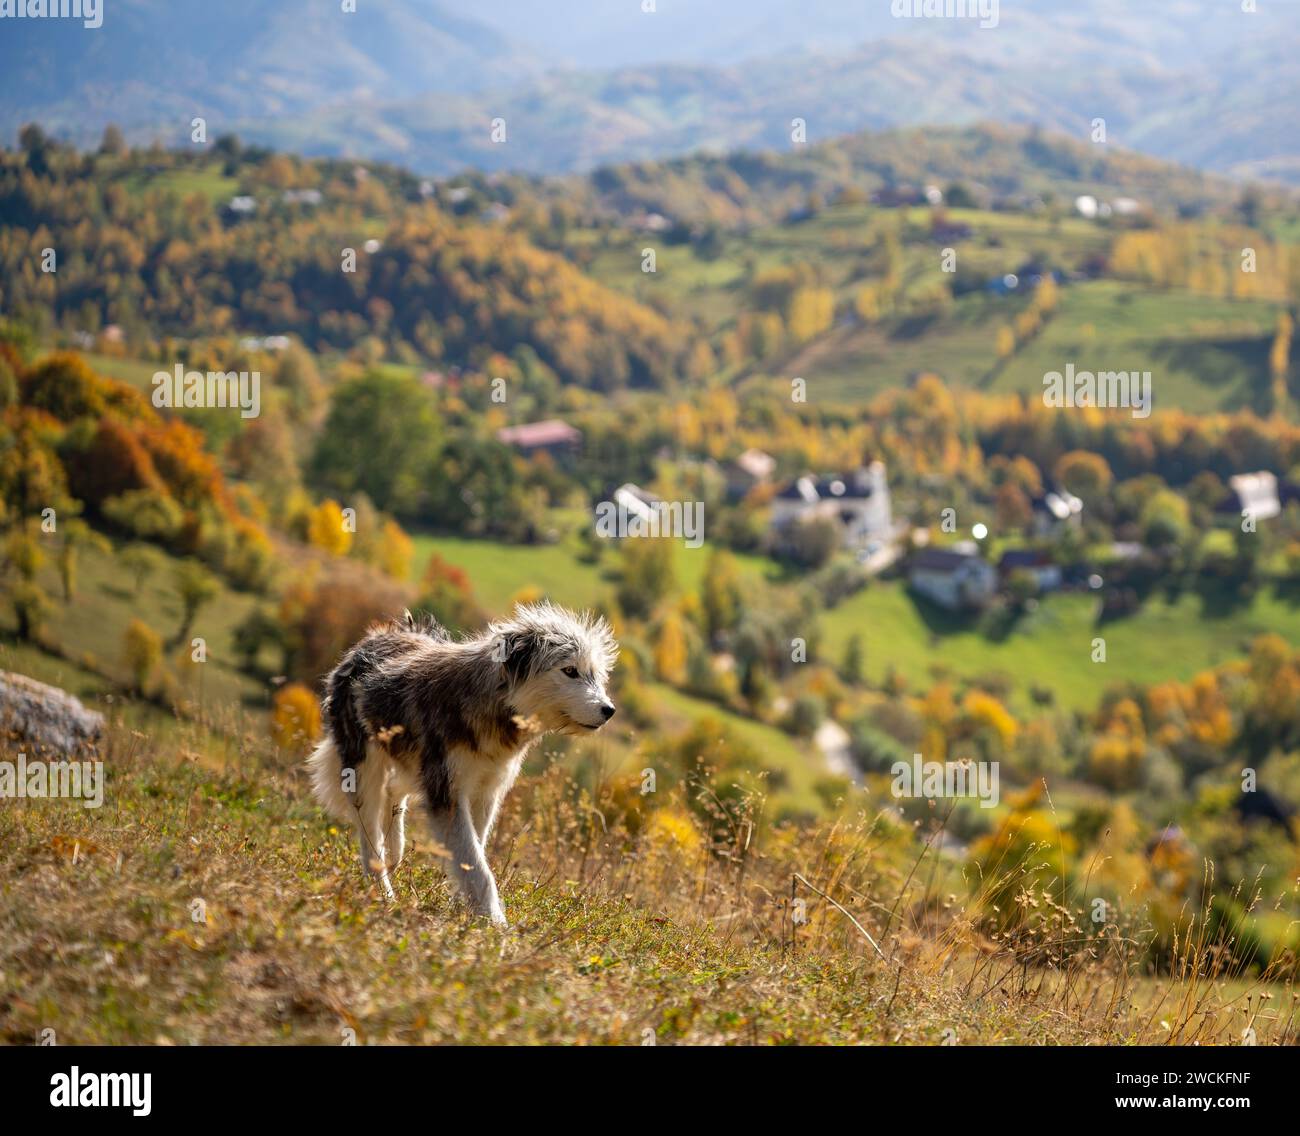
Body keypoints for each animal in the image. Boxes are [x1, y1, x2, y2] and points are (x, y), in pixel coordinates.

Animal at [312, 603, 621, 920]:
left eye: (594, 674)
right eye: (570, 670)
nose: (609, 710)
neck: (491, 704)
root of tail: (379, 636)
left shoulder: (486, 792)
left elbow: (474, 853)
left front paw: (464, 908)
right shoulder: (448, 795)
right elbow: (477, 865)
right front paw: (494, 922)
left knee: (395, 794)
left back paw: (394, 851)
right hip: (364, 771)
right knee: (369, 835)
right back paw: (382, 893)